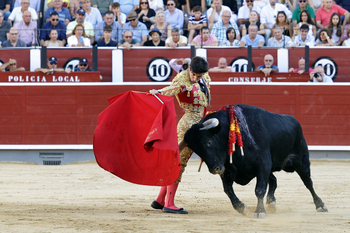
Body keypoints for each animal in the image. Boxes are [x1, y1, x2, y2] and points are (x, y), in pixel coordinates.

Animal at [183, 104, 328, 218]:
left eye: (208, 142)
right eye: (196, 151)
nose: (215, 169)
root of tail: (294, 121)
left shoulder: (263, 165)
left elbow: (259, 189)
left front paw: (259, 212)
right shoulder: (227, 169)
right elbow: (228, 190)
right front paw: (242, 208)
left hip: (301, 161)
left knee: (308, 183)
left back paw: (320, 205)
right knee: (274, 180)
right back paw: (271, 203)